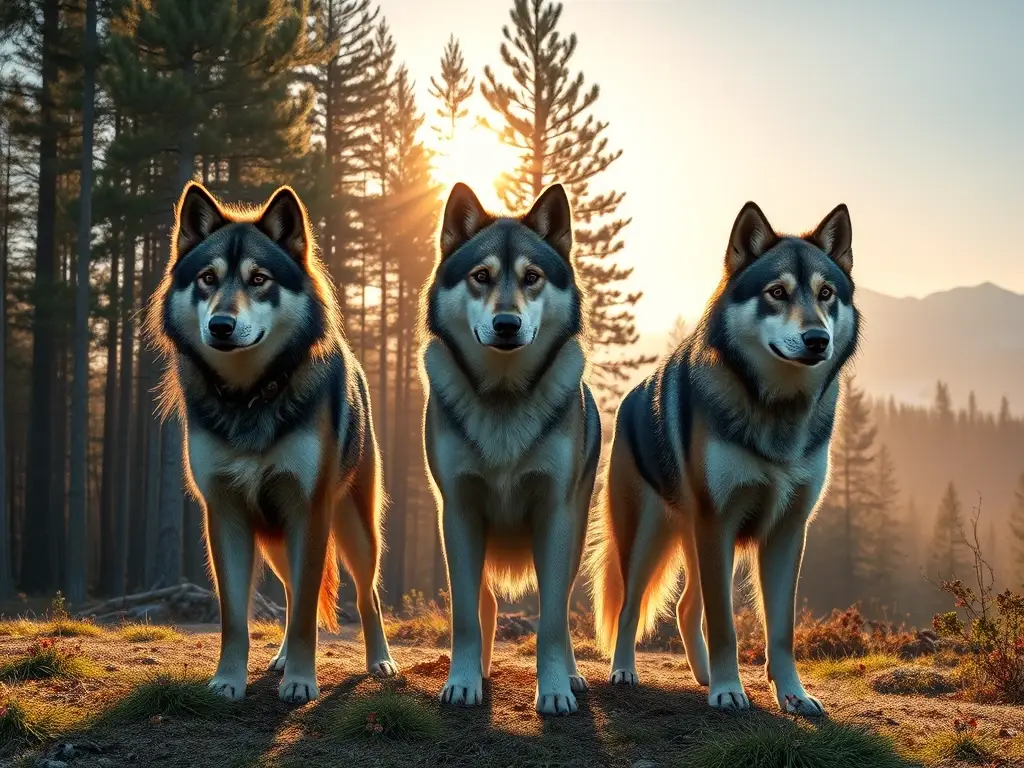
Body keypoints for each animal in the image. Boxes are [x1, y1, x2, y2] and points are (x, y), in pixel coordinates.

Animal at [146, 181, 397, 703]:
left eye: (259, 279)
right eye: (207, 278)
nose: (220, 325)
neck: (250, 397)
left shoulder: (309, 511)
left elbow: (304, 613)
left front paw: (301, 682)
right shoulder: (223, 514)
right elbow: (235, 618)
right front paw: (227, 682)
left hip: (354, 531)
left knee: (366, 594)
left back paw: (380, 661)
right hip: (277, 539)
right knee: (289, 591)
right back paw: (280, 658)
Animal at [419, 182, 602, 716]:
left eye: (532, 277)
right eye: (481, 276)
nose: (506, 324)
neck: (503, 399)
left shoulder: (555, 515)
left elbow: (551, 621)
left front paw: (556, 690)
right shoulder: (457, 511)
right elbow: (464, 616)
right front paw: (462, 683)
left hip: (575, 529)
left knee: (561, 607)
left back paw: (574, 676)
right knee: (485, 602)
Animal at [585, 201, 859, 716]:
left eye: (826, 293)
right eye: (777, 293)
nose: (817, 339)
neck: (776, 412)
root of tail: (629, 398)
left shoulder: (788, 531)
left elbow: (781, 631)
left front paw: (793, 695)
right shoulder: (720, 523)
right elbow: (725, 626)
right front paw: (730, 691)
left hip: (699, 543)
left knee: (684, 607)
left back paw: (703, 676)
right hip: (649, 538)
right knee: (631, 607)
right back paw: (625, 672)